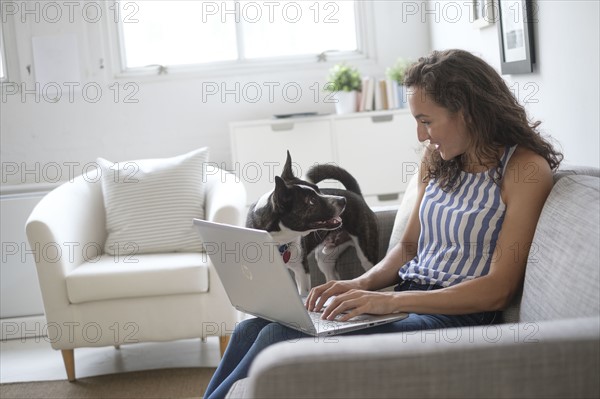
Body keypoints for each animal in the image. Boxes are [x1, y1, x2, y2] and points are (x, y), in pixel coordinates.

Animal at [245, 152, 378, 296]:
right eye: (312, 201)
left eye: (319, 190)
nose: (343, 200)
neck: (278, 239)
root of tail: (354, 193)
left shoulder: (301, 270)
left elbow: (303, 293)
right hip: (324, 258)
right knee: (333, 278)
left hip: (366, 254)